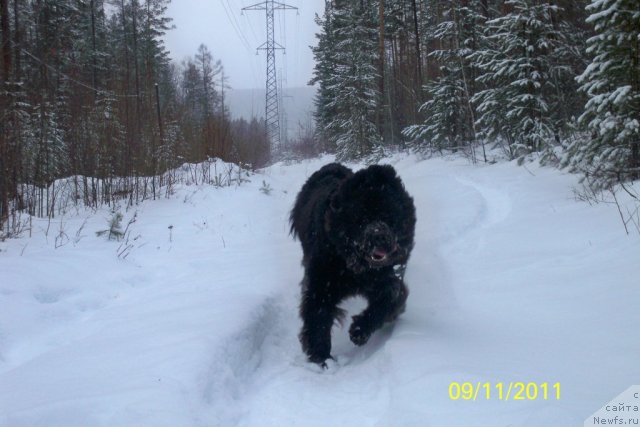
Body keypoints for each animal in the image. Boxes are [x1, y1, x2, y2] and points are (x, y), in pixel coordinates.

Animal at [290, 164, 416, 368]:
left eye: (390, 215)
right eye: (361, 218)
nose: (380, 236)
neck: (354, 268)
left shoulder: (388, 279)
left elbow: (388, 300)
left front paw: (359, 330)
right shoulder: (321, 284)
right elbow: (318, 316)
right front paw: (322, 359)